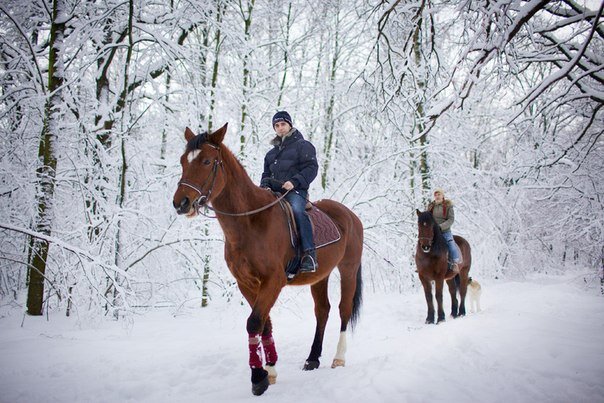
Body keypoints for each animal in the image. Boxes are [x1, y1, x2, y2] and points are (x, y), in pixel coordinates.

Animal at [172, 124, 366, 396]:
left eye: (207, 161)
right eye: (183, 161)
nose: (181, 203)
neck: (251, 222)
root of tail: (350, 215)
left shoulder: (273, 281)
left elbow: (254, 322)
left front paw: (258, 378)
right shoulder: (247, 283)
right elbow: (264, 323)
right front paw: (270, 370)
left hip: (348, 269)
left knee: (343, 309)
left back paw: (338, 358)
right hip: (320, 276)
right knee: (322, 311)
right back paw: (312, 359)